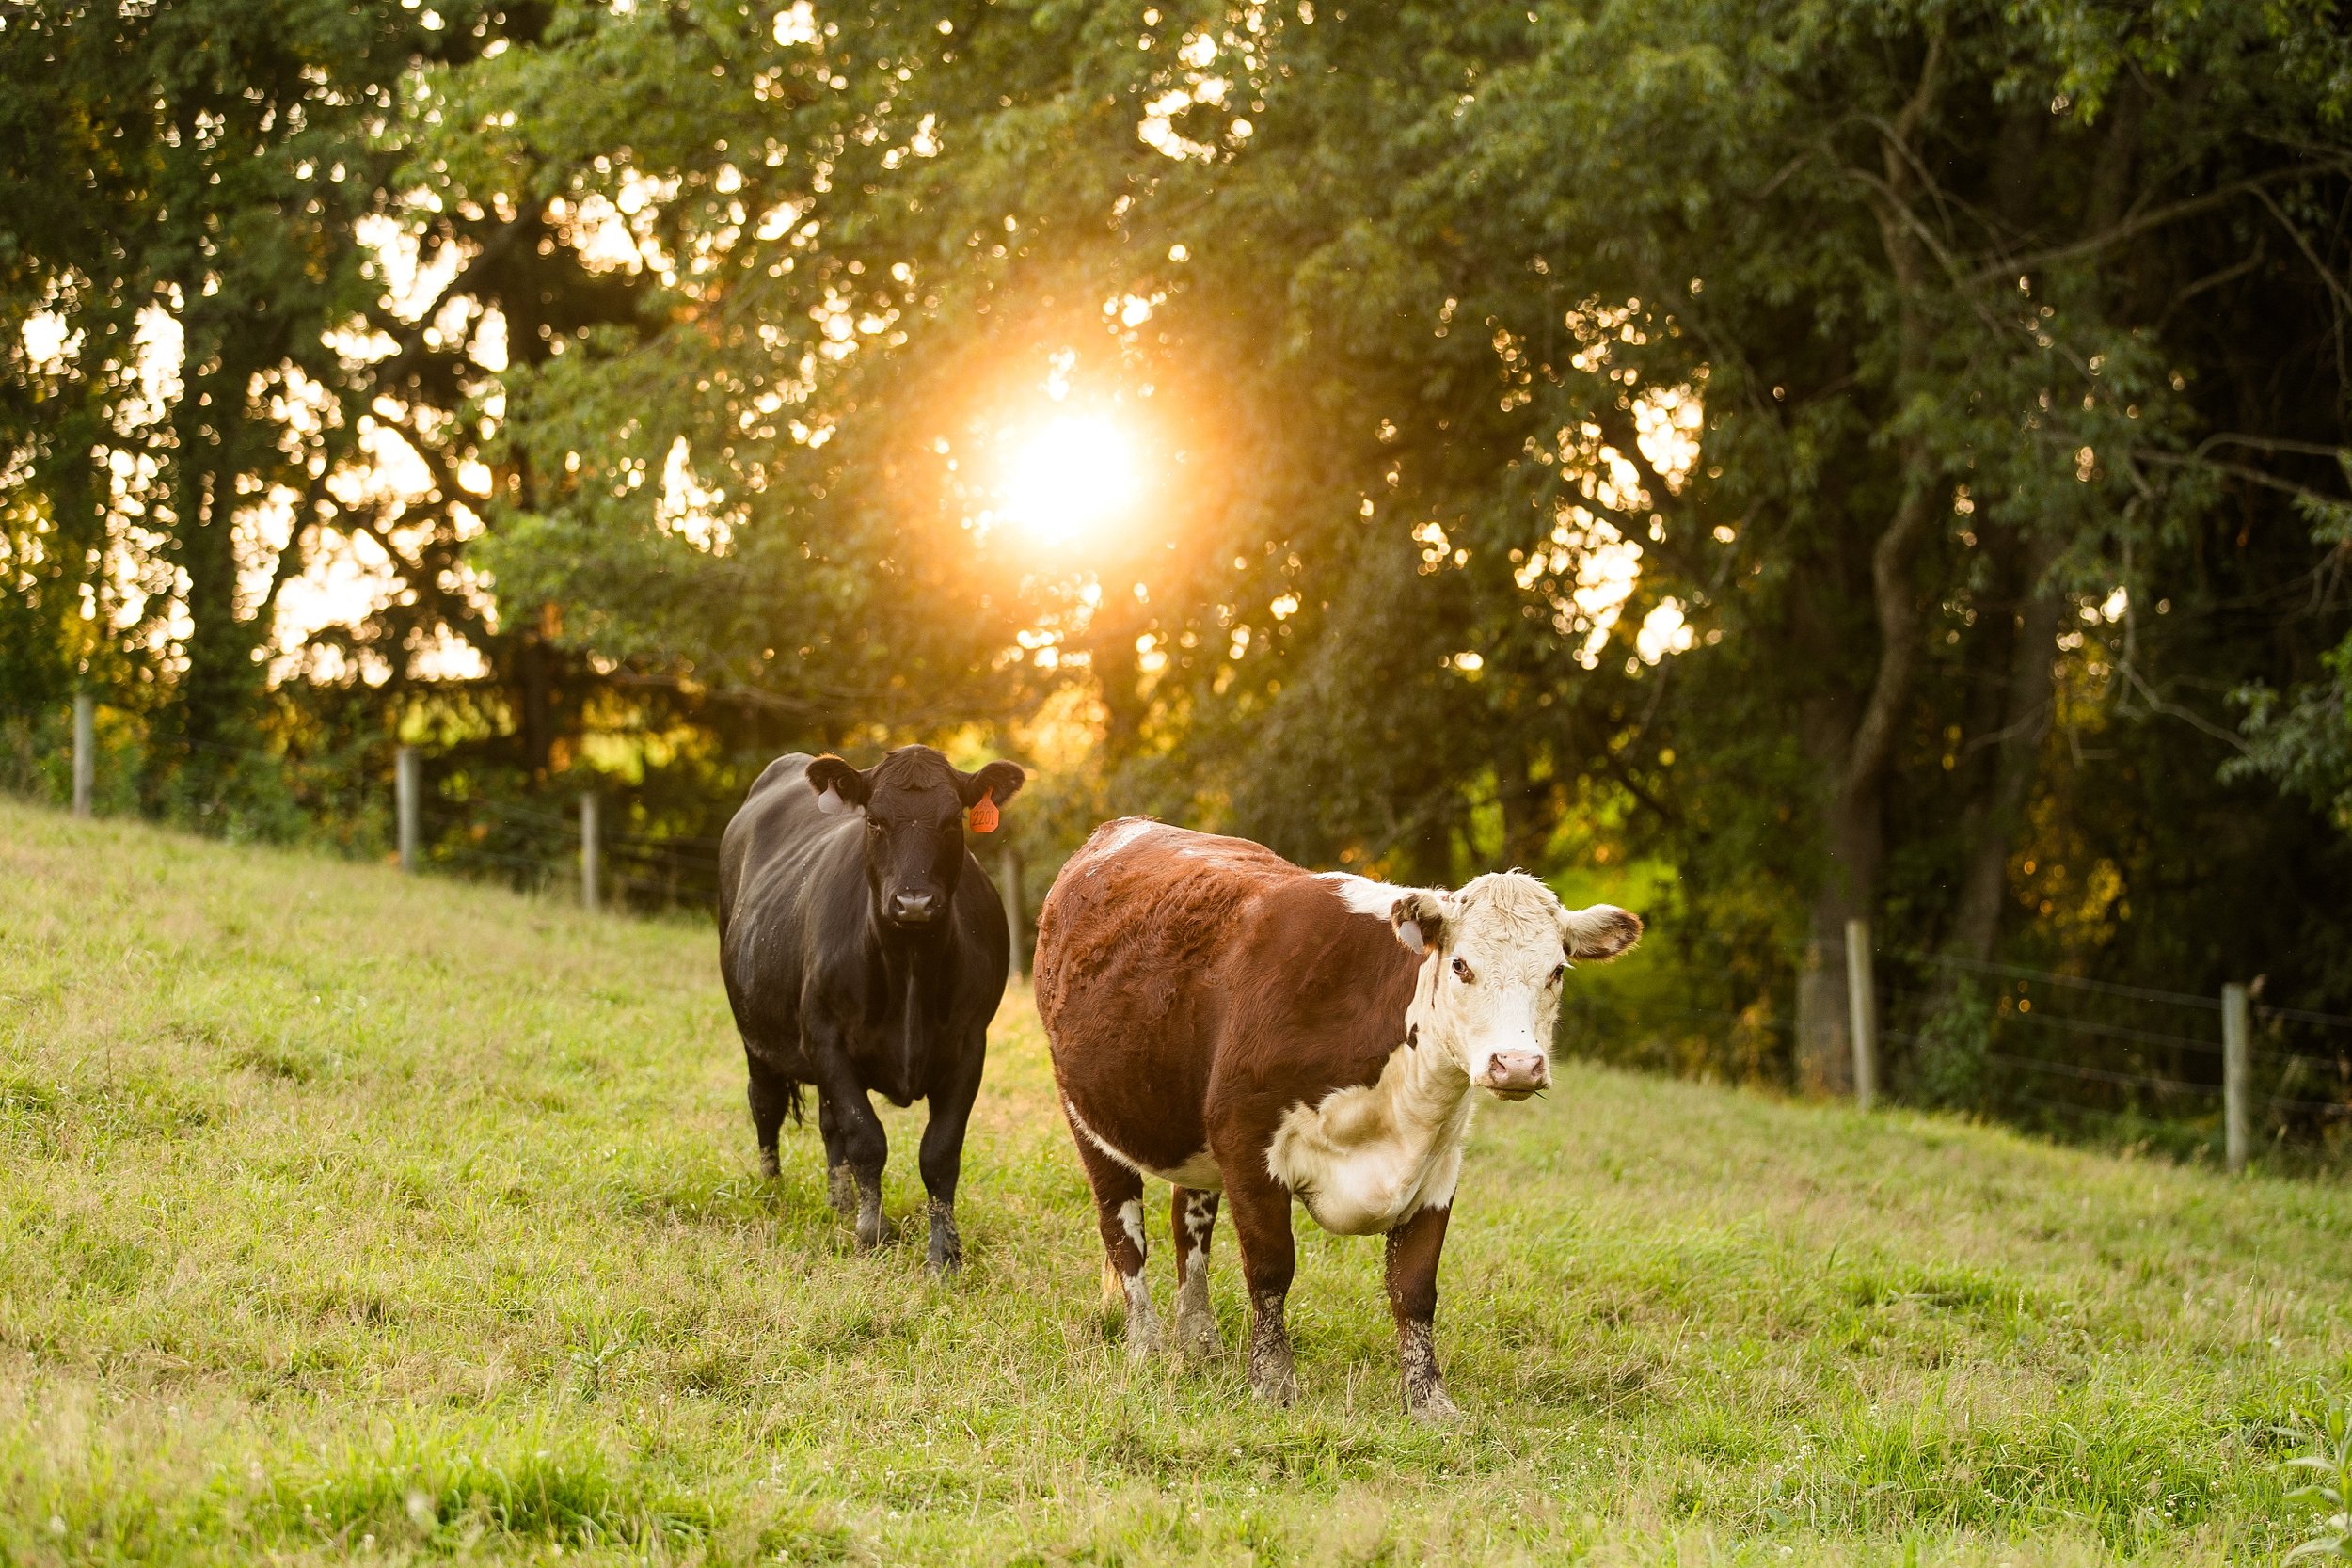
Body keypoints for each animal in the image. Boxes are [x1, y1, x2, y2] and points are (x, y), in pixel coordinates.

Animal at [720, 747, 1025, 1278]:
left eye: (952, 820)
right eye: (876, 820)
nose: (914, 901)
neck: (909, 961)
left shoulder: (970, 1045)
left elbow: (939, 1151)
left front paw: (944, 1253)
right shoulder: (826, 1038)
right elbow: (866, 1136)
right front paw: (872, 1233)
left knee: (827, 1126)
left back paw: (839, 1204)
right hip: (754, 1031)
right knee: (766, 1104)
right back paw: (773, 1192)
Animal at [1040, 822, 1646, 1419]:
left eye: (1556, 971)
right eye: (1461, 965)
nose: (1517, 1064)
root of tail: (1116, 831)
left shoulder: (1438, 1170)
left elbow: (1414, 1288)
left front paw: (1430, 1402)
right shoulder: (1247, 1147)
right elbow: (1270, 1269)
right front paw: (1273, 1384)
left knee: (1190, 1228)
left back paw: (1200, 1343)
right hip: (1087, 1118)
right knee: (1124, 1232)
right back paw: (1146, 1345)